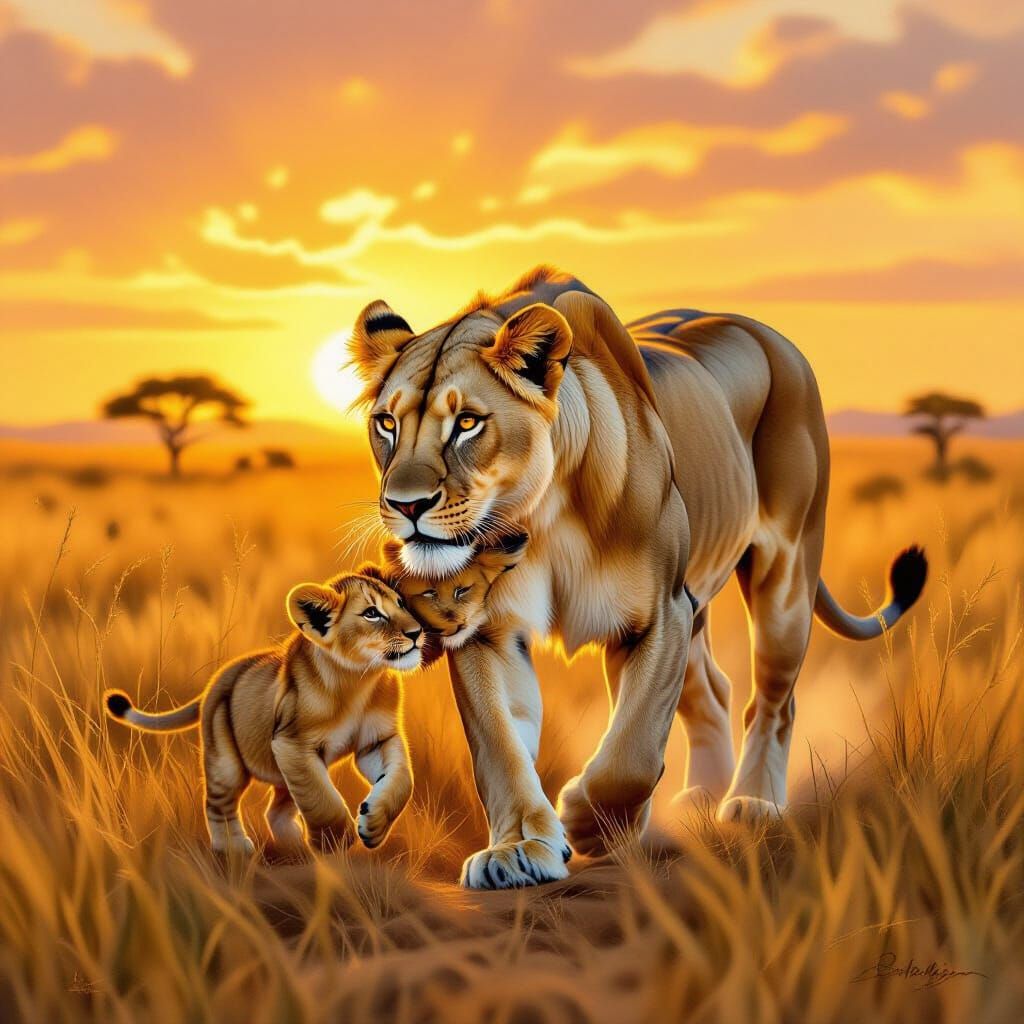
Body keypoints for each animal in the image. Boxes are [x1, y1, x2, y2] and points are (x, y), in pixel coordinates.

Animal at [105, 567, 424, 856]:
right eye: (371, 613)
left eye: (401, 603)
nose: (417, 632)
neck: (359, 680)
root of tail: (216, 681)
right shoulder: (292, 744)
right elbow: (323, 800)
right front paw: (336, 839)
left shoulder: (376, 740)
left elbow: (402, 781)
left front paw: (373, 825)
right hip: (228, 763)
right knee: (218, 803)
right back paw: (233, 847)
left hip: (285, 772)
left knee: (276, 811)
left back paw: (294, 846)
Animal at [347, 266, 926, 889]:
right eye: (386, 424)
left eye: (468, 423)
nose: (405, 505)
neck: (536, 521)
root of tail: (772, 336)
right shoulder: (489, 633)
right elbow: (499, 747)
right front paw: (519, 849)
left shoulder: (659, 615)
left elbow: (634, 748)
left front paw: (590, 824)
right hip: (697, 604)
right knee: (713, 692)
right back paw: (698, 801)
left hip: (785, 574)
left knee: (772, 701)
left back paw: (753, 804)